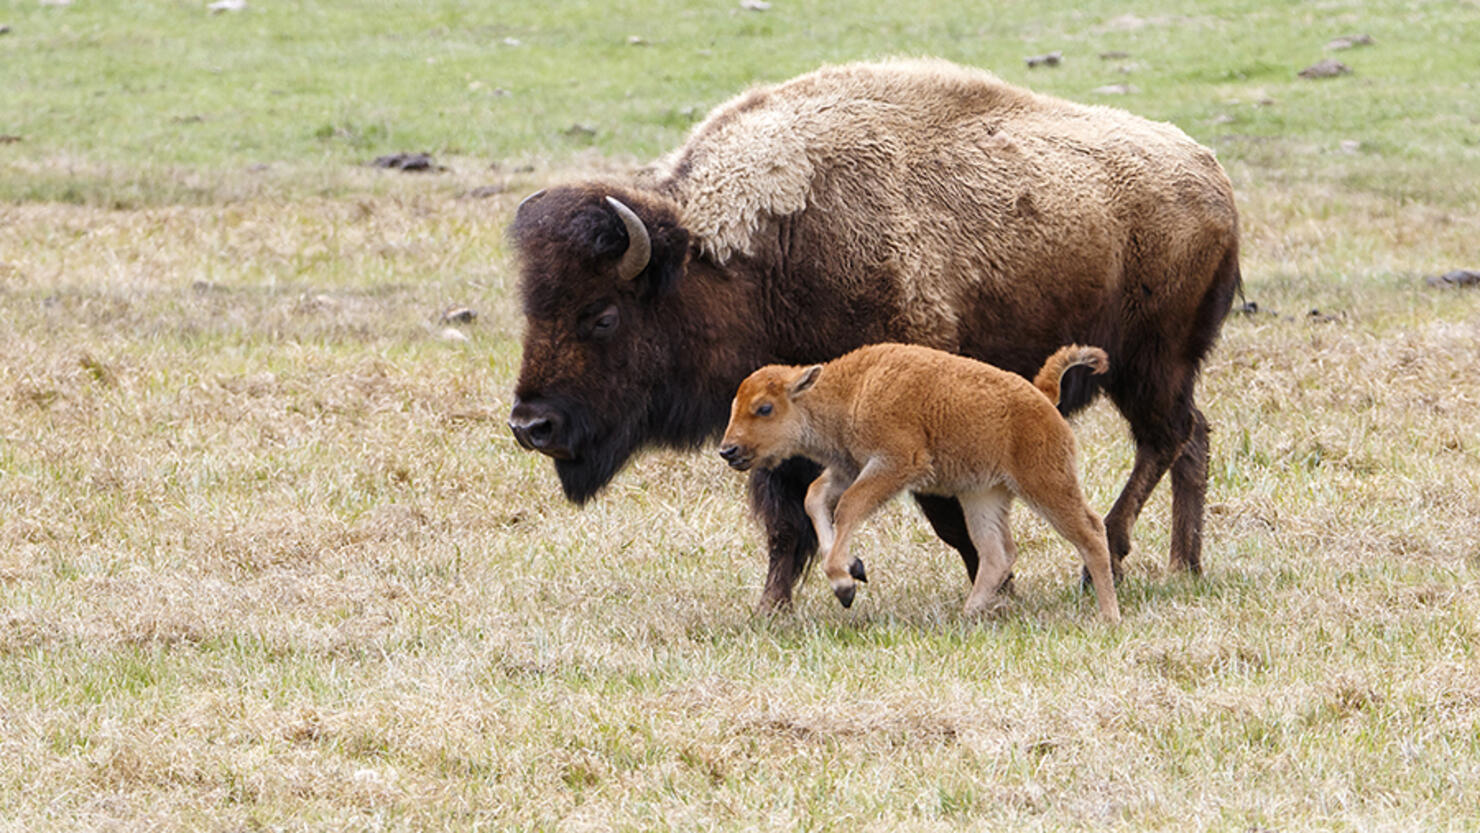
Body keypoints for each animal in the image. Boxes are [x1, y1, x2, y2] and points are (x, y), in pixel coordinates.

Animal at [719, 341, 1118, 621]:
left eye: (764, 407)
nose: (728, 449)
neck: (851, 390)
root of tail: (1043, 397)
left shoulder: (893, 465)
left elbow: (847, 507)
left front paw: (844, 584)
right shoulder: (850, 468)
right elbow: (815, 498)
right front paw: (852, 569)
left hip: (1045, 483)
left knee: (1090, 531)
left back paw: (1108, 616)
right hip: (982, 494)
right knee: (996, 552)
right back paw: (967, 615)